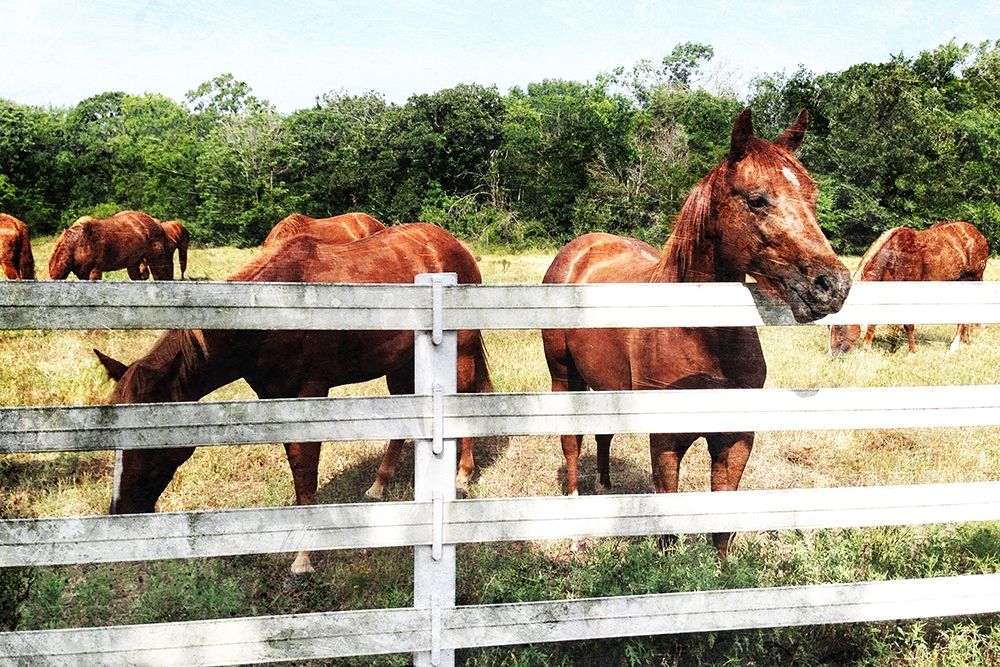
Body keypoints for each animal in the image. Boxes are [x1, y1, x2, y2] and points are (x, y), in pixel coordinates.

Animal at [94, 223, 493, 573]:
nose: (120, 510)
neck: (272, 315)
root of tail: (451, 243)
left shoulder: (309, 392)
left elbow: (305, 473)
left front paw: (303, 557)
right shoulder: (278, 399)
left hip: (461, 352)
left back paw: (462, 476)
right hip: (401, 362)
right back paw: (379, 483)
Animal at [541, 108, 851, 556]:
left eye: (812, 197)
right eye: (757, 199)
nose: (832, 285)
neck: (702, 335)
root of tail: (581, 249)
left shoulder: (735, 439)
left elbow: (721, 525)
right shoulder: (667, 439)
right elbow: (668, 527)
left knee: (602, 435)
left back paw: (605, 487)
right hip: (564, 377)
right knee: (572, 441)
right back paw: (575, 507)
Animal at [829, 221, 988, 355]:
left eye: (839, 326)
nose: (832, 355)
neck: (894, 257)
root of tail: (978, 234)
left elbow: (909, 324)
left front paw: (912, 351)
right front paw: (865, 350)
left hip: (973, 278)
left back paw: (955, 346)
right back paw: (965, 340)